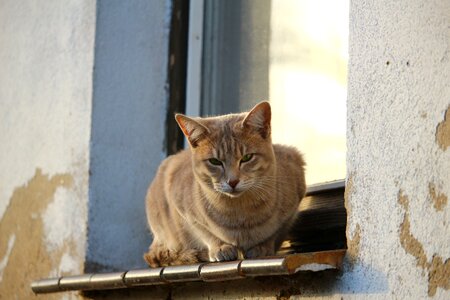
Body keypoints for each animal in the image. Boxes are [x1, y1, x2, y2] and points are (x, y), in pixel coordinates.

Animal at [144, 101, 306, 268]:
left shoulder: (293, 200)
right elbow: (204, 232)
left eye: (247, 157)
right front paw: (220, 247)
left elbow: (274, 233)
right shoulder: (183, 210)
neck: (240, 213)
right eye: (214, 161)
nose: (232, 181)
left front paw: (262, 246)